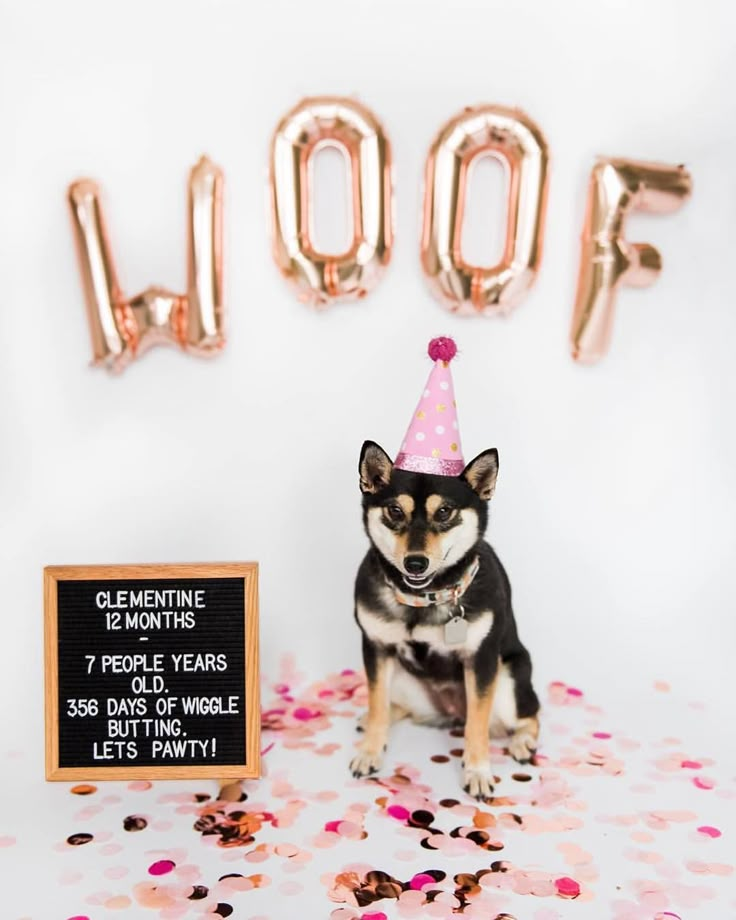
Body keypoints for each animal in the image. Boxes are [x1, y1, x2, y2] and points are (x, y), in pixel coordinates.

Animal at [350, 440, 540, 796]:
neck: (423, 599)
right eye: (394, 511)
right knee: (392, 706)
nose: (415, 563)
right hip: (403, 682)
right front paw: (370, 750)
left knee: (530, 716)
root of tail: (450, 712)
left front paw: (477, 771)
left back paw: (522, 743)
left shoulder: (481, 660)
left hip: (508, 685)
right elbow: (377, 704)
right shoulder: (376, 648)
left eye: (444, 512)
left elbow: (477, 726)